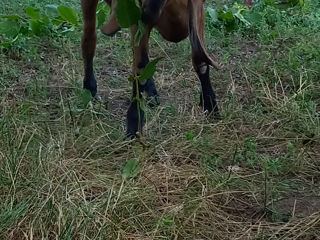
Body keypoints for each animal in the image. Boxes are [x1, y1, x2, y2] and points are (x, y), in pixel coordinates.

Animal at [80, 0, 220, 136]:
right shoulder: (137, 16)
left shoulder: (196, 10)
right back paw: (90, 89)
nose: (148, 11)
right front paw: (134, 124)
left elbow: (199, 56)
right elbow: (141, 65)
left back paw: (152, 94)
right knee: (89, 38)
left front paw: (211, 106)